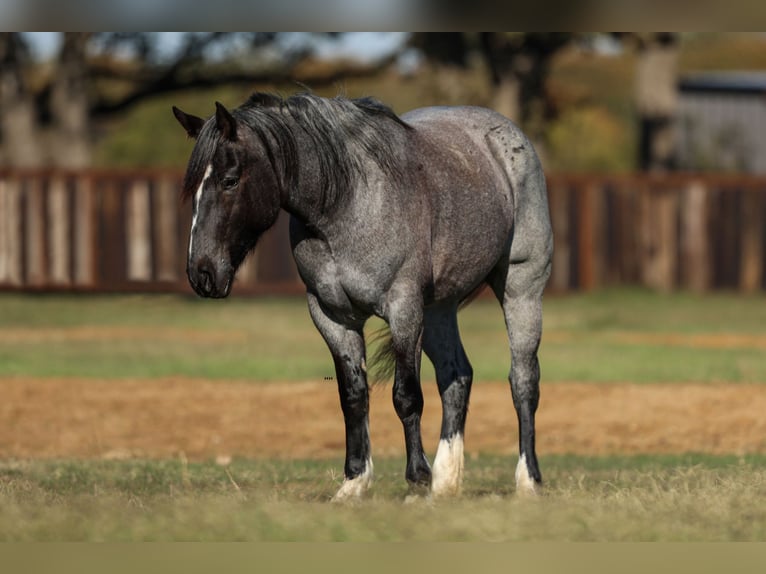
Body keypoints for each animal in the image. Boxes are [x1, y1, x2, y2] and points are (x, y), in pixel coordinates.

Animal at [174, 92, 556, 502]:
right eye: (193, 188)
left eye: (229, 180)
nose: (202, 273)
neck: (346, 204)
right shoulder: (332, 316)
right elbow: (353, 396)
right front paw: (354, 481)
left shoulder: (403, 309)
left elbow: (406, 395)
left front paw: (416, 479)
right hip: (439, 308)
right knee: (456, 376)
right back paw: (446, 482)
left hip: (520, 289)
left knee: (523, 381)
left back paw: (527, 480)